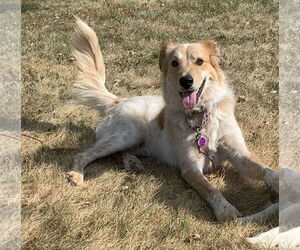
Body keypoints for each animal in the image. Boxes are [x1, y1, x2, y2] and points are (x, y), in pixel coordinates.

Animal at [67, 19, 278, 222]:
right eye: (175, 63)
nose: (186, 81)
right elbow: (212, 190)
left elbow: (267, 170)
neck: (200, 116)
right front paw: (226, 210)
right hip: (127, 135)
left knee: (121, 153)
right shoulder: (190, 168)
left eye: (199, 61)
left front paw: (280, 183)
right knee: (84, 154)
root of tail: (118, 100)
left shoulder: (239, 153)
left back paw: (132, 163)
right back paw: (77, 174)